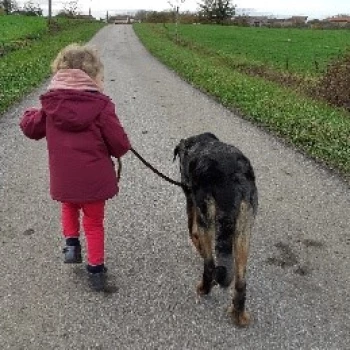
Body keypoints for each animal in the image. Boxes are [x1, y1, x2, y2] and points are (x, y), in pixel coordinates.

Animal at [173, 131, 258, 326]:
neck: (200, 143)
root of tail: (233, 181)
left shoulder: (192, 203)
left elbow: (192, 232)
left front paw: (197, 247)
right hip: (244, 227)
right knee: (241, 281)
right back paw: (239, 315)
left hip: (207, 217)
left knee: (210, 264)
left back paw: (204, 288)